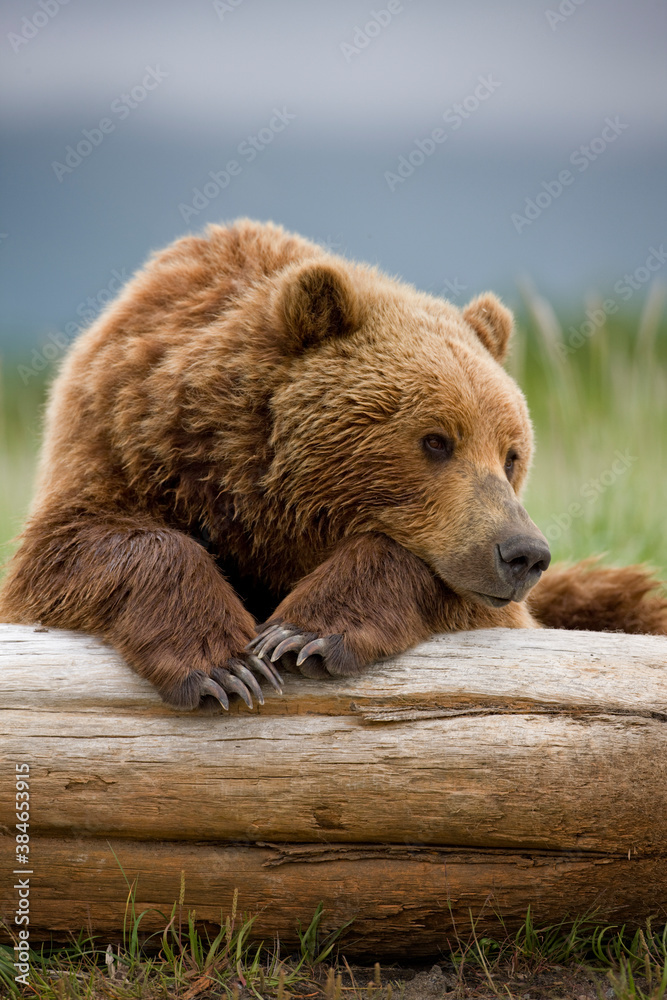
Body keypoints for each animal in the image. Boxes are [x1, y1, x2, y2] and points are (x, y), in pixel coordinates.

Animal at [1, 217, 667, 712]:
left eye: (511, 454)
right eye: (436, 441)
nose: (523, 553)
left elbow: (453, 589)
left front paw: (306, 632)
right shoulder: (121, 441)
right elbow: (71, 549)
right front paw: (225, 664)